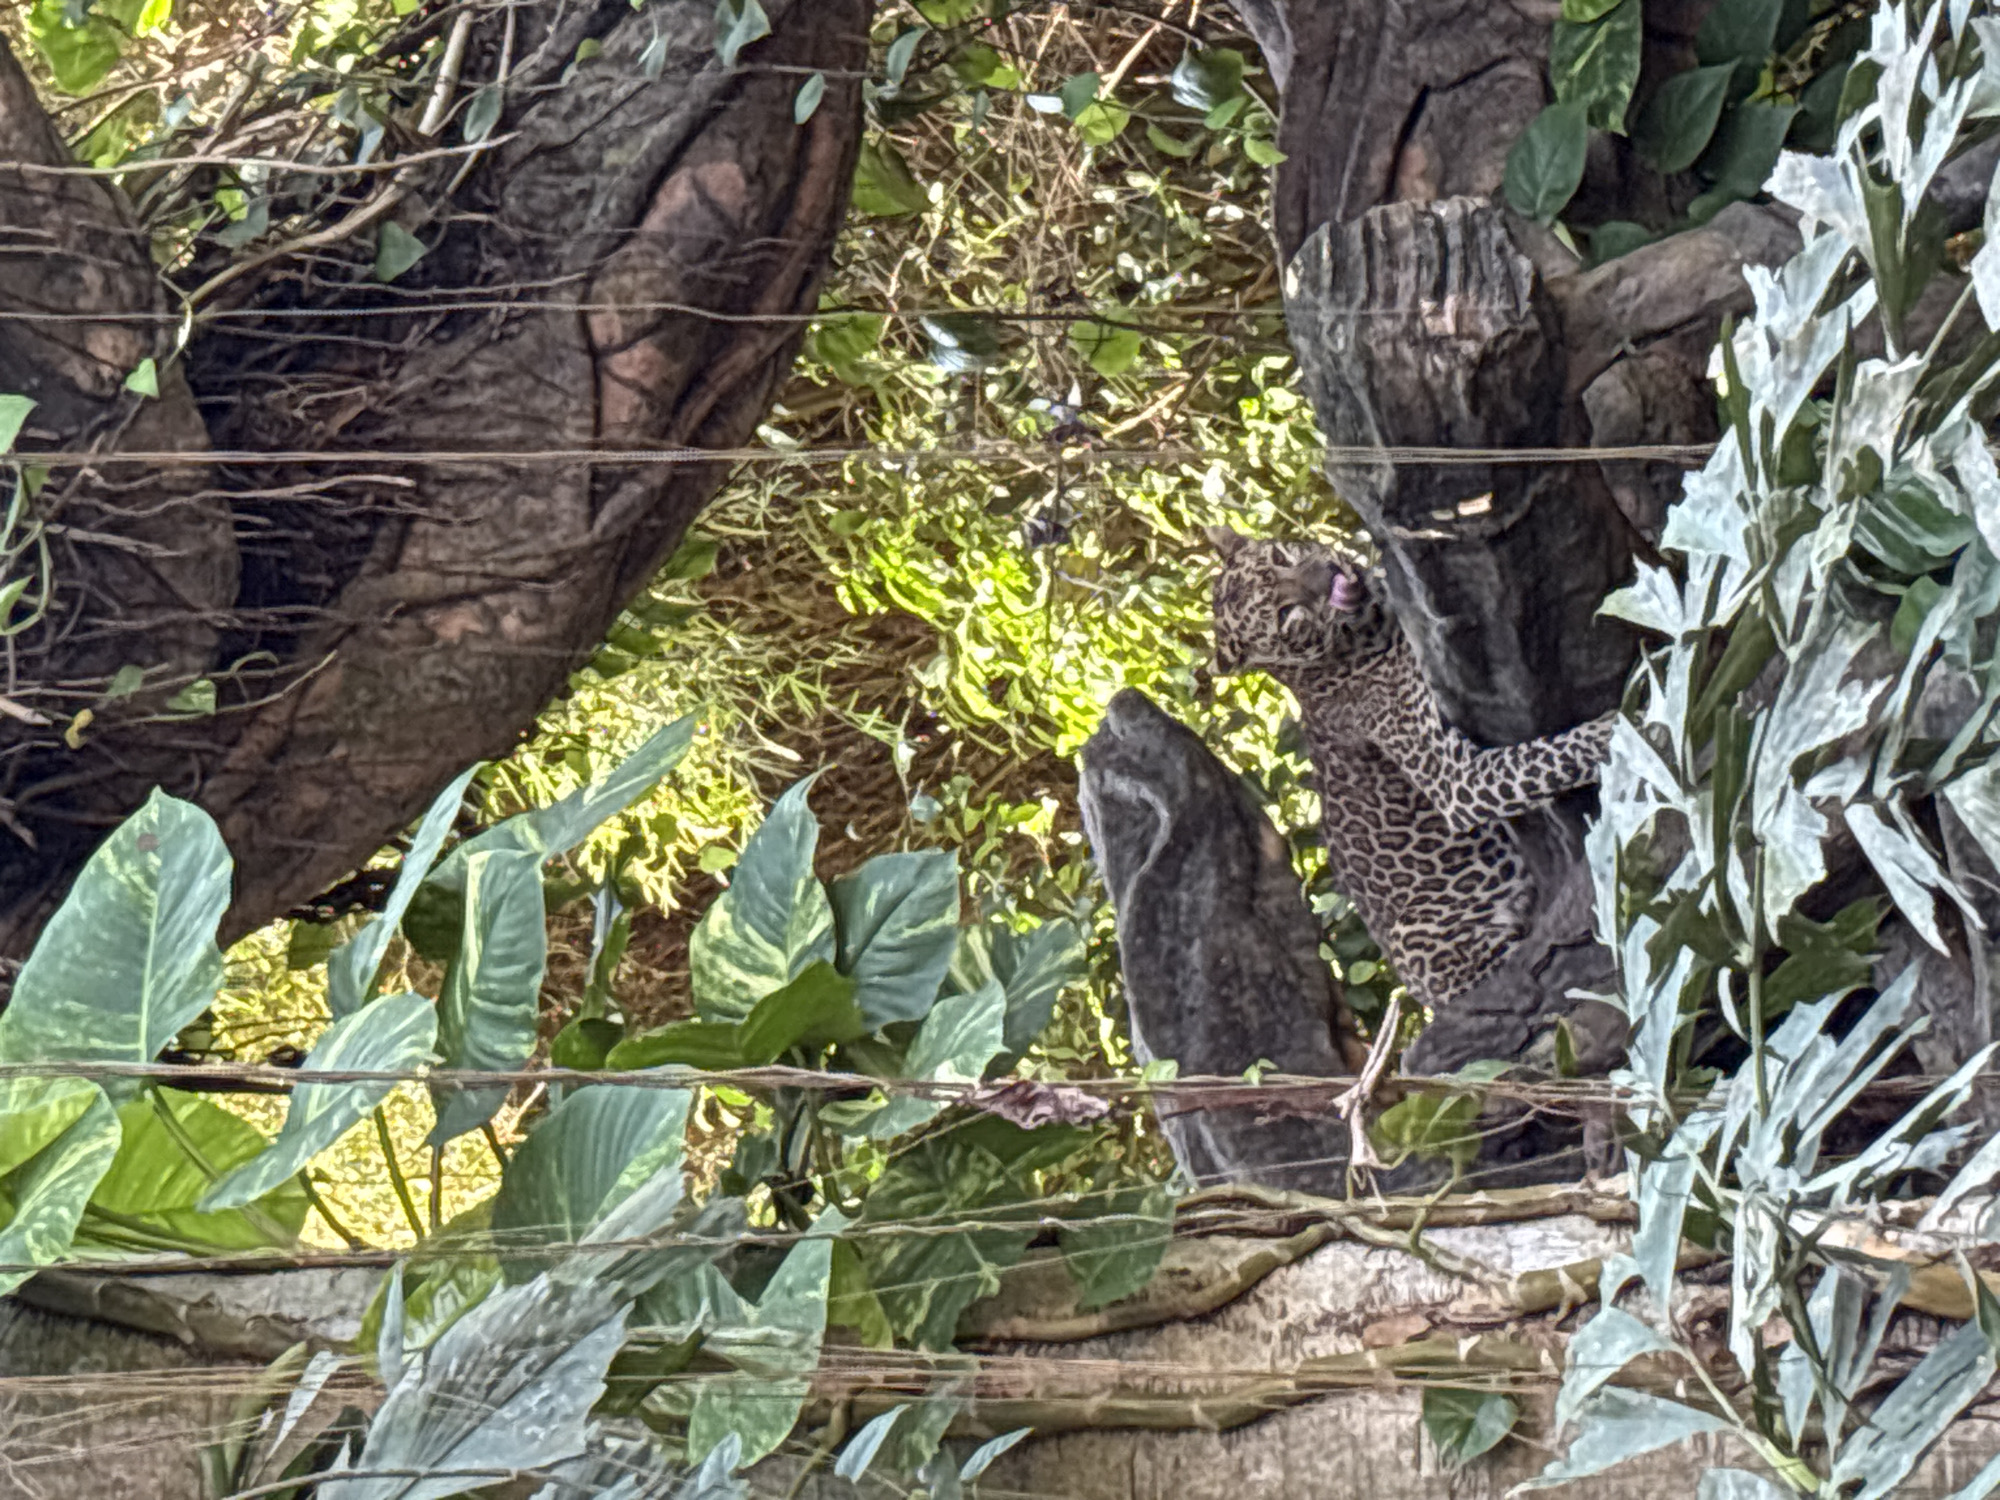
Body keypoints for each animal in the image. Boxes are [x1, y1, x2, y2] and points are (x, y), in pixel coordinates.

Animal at [1206, 525, 1614, 1014]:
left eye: (1283, 557)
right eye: (1286, 615)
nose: (1328, 576)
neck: (1369, 625)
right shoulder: (1455, 779)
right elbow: (1548, 756)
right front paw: (1618, 727)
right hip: (1419, 941)